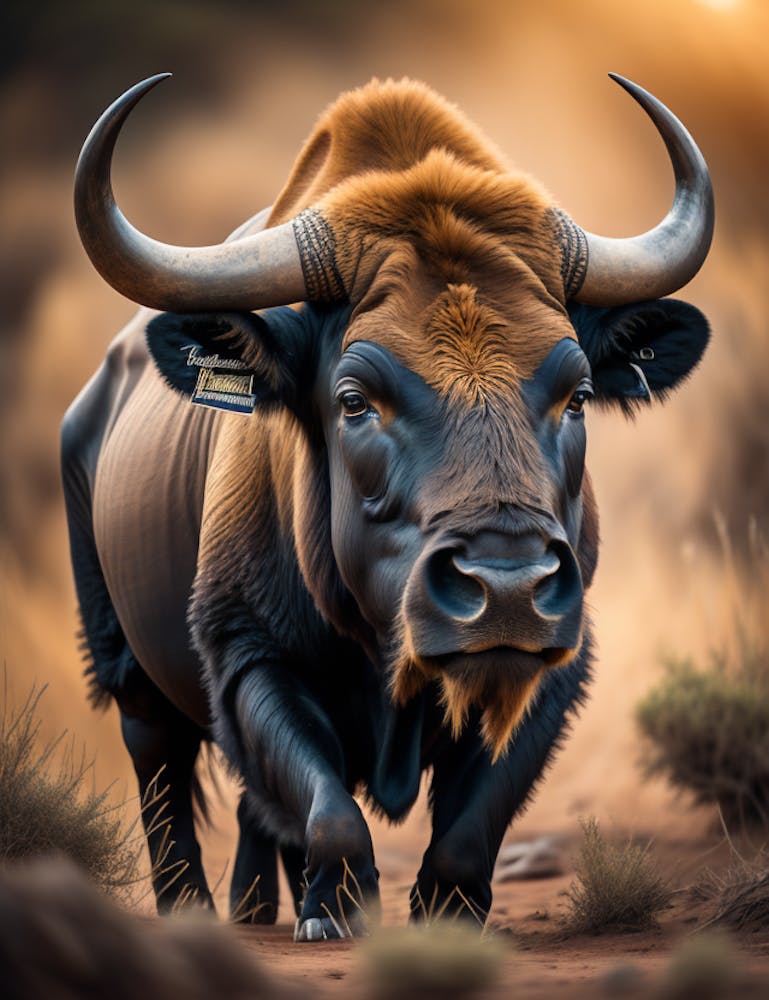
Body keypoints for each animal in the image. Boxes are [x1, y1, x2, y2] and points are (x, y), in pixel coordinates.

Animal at [63, 74, 712, 939]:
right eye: (353, 400)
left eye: (576, 395)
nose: (507, 588)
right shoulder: (245, 654)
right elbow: (327, 805)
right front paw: (335, 910)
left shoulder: (555, 672)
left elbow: (470, 824)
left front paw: (441, 912)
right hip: (123, 663)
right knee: (160, 766)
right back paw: (195, 912)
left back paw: (252, 907)